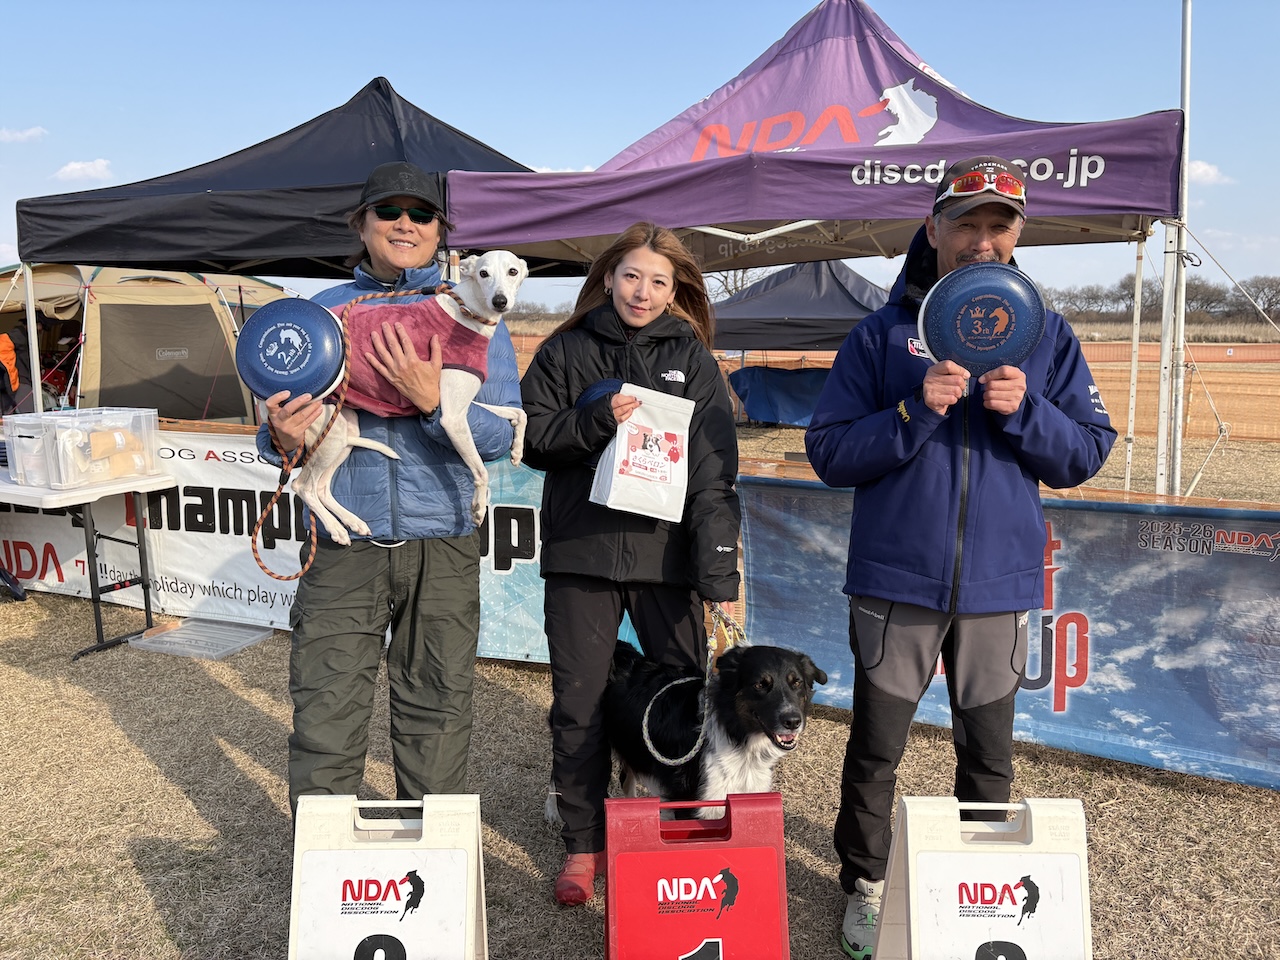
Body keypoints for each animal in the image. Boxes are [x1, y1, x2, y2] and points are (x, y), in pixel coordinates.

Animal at [292, 250, 529, 543]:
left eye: (512, 271)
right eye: (483, 273)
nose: (500, 302)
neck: (467, 311)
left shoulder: (459, 404)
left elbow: (519, 412)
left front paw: (517, 451)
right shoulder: (452, 418)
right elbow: (481, 471)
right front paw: (478, 507)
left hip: (343, 431)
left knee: (322, 487)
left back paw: (352, 522)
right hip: (328, 432)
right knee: (302, 486)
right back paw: (336, 529)